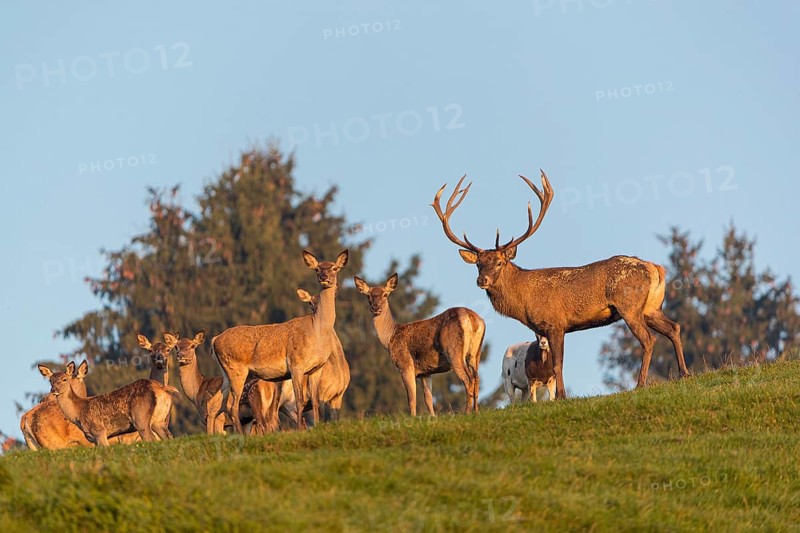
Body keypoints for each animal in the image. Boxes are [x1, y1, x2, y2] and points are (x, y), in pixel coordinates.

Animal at [38, 363, 180, 446]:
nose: (53, 390)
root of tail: (161, 389)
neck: (79, 412)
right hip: (159, 420)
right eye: (50, 380)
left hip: (141, 418)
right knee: (169, 437)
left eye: (64, 379)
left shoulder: (99, 431)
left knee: (150, 438)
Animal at [212, 250, 349, 433]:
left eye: (334, 268)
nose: (324, 277)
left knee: (216, 404)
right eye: (317, 269)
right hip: (236, 369)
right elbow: (299, 402)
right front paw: (300, 430)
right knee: (231, 406)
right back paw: (240, 434)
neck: (317, 331)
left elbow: (315, 401)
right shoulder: (296, 364)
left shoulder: (316, 368)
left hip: (226, 373)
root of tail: (214, 340)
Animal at [354, 273, 486, 416]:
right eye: (368, 295)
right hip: (475, 353)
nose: (376, 307)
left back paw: (467, 412)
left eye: (385, 294)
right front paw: (433, 417)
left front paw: (412, 417)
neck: (390, 338)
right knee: (477, 379)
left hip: (453, 351)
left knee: (468, 379)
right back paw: (476, 411)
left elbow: (411, 399)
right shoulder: (425, 372)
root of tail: (473, 319)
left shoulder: (405, 365)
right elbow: (428, 399)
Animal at [432, 170, 690, 398]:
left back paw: (640, 383)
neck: (524, 302)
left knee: (648, 339)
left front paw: (562, 396)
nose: (481, 280)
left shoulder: (556, 323)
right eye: (478, 264)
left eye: (499, 262)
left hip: (630, 306)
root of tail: (655, 268)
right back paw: (684, 373)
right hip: (652, 307)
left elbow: (558, 365)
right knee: (674, 328)